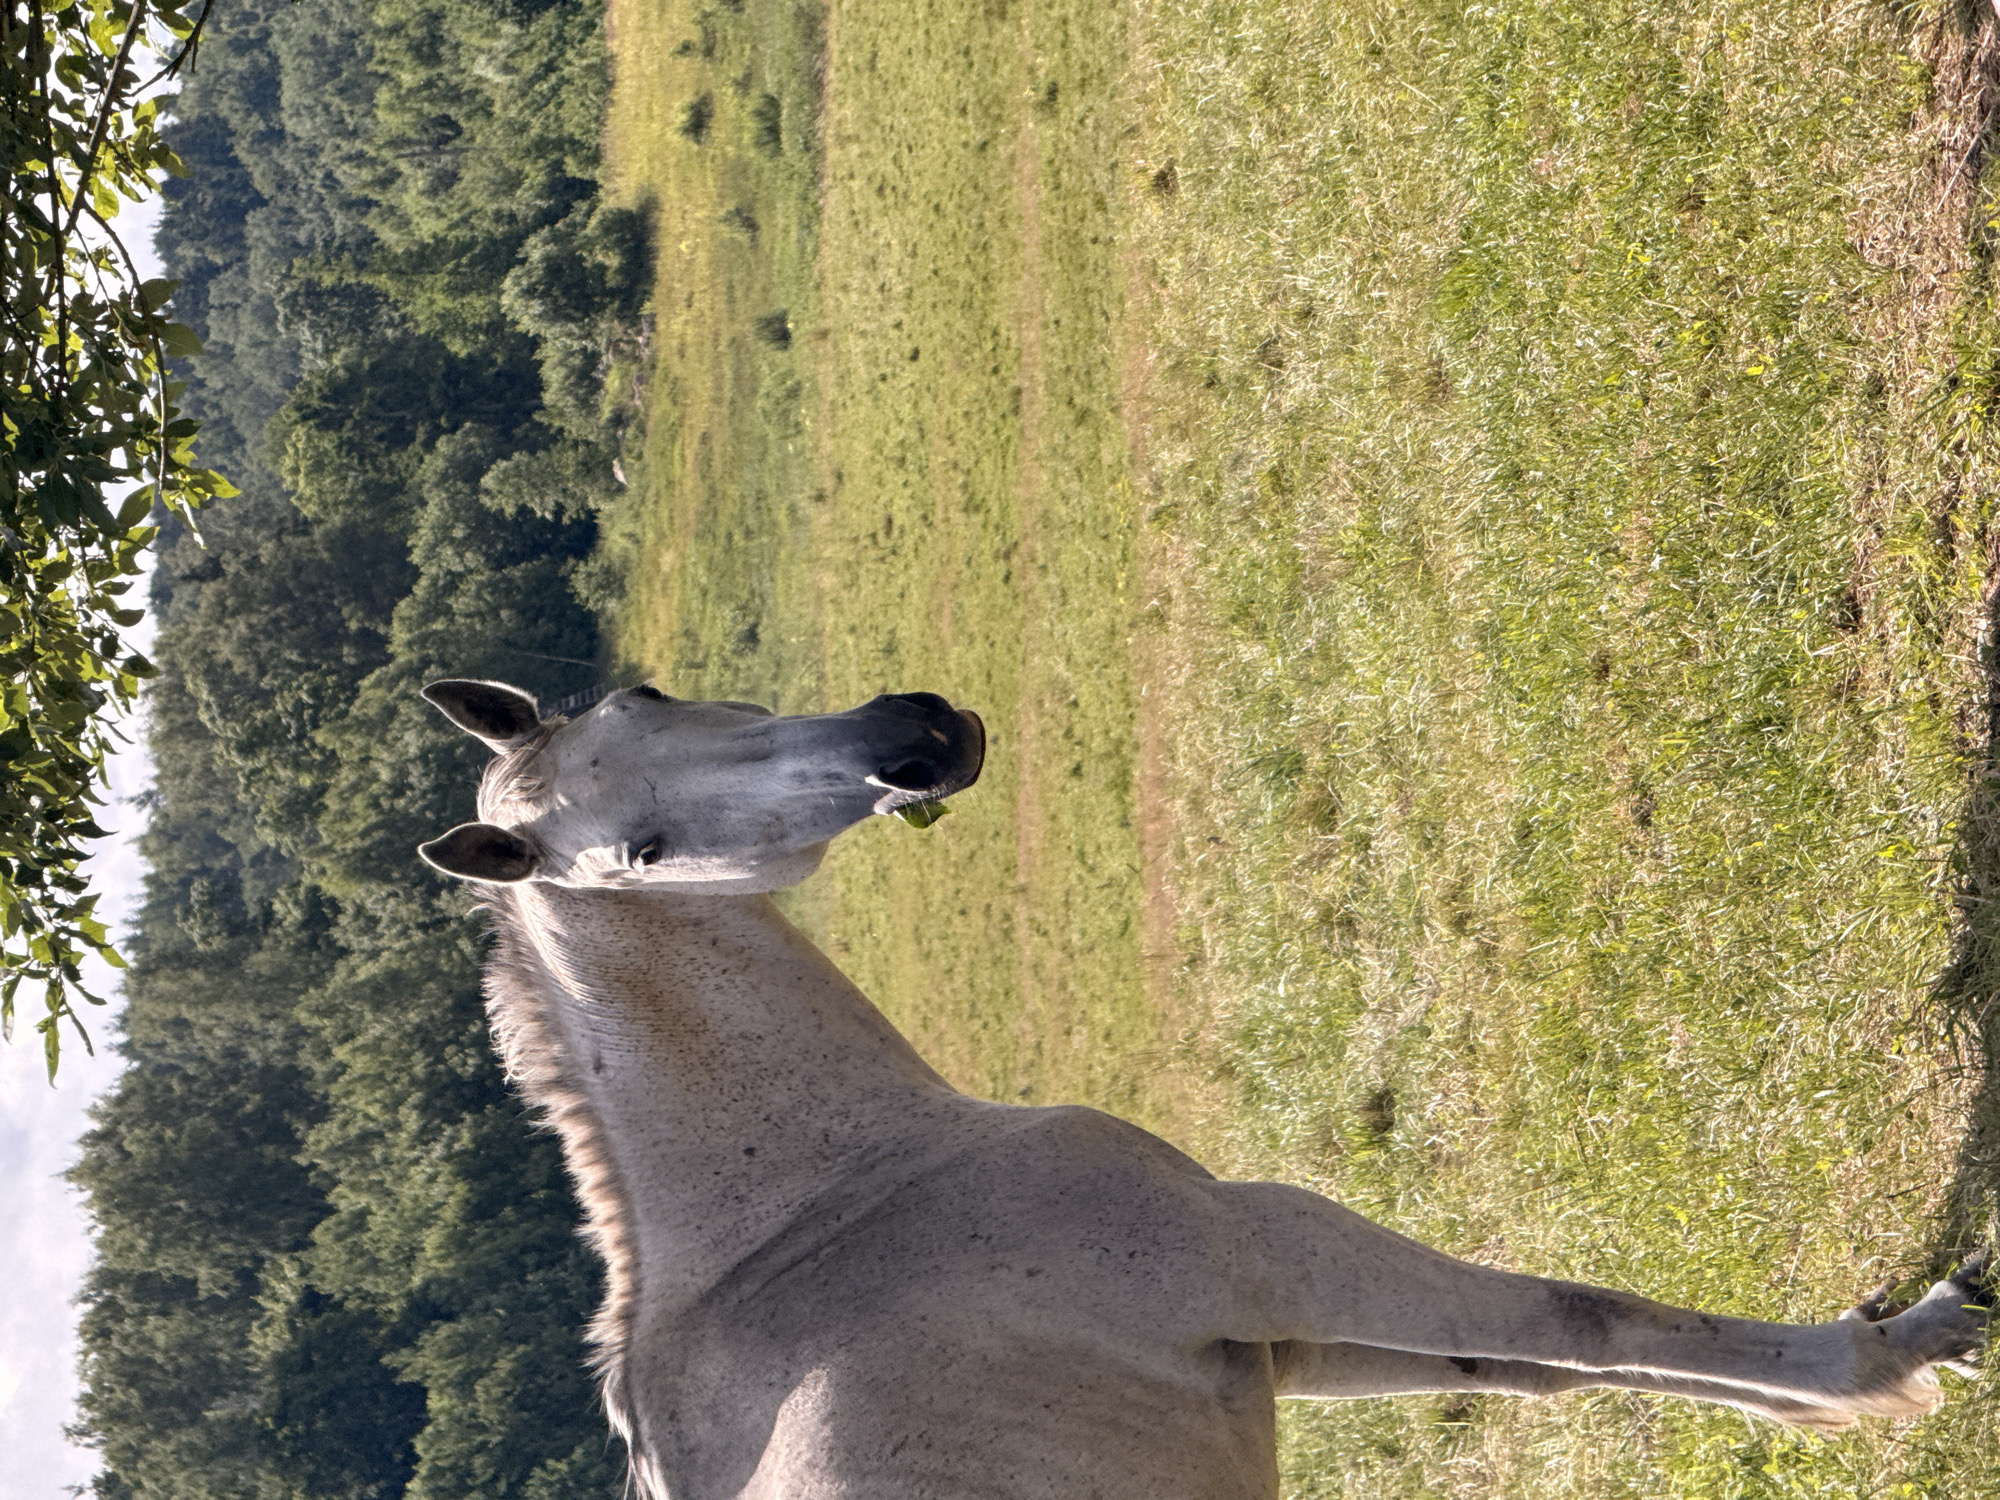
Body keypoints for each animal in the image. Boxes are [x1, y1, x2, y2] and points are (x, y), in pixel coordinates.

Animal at [416, 678, 1991, 1500]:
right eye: (641, 852)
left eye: (646, 691)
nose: (911, 738)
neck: (830, 1206)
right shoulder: (1265, 1245)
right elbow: (1581, 1323)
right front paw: (1901, 1351)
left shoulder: (1271, 1337)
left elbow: (1540, 1363)